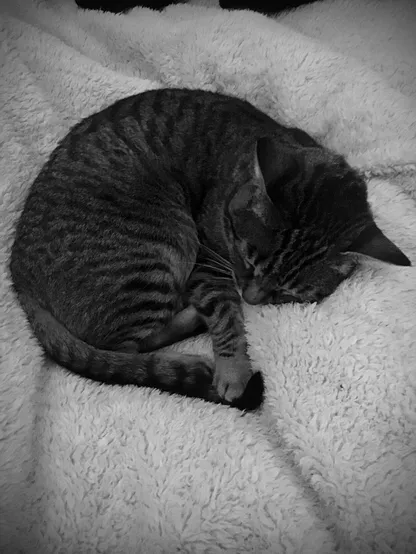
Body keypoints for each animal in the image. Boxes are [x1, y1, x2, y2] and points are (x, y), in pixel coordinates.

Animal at [8, 89, 410, 410]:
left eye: (288, 292)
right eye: (248, 257)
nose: (252, 298)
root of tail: (17, 277)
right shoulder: (207, 259)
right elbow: (226, 314)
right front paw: (234, 371)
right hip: (160, 250)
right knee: (124, 351)